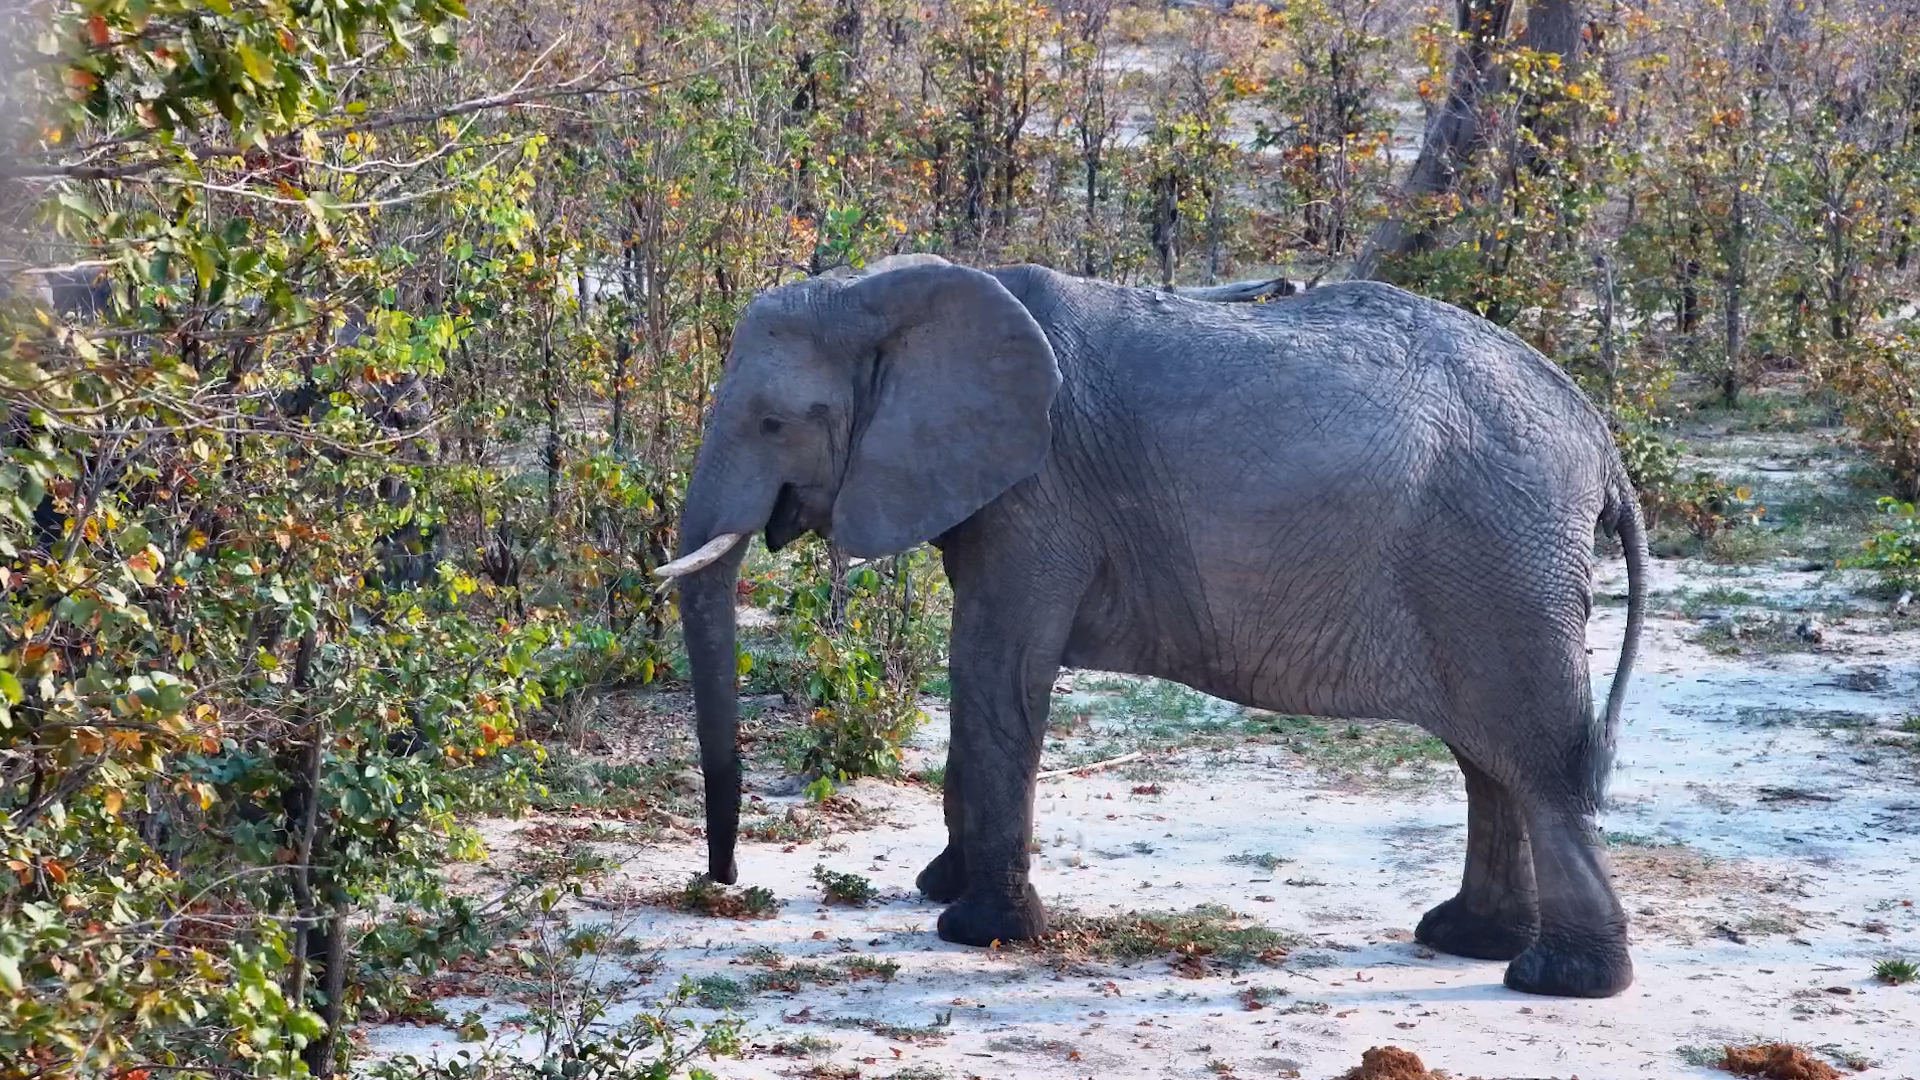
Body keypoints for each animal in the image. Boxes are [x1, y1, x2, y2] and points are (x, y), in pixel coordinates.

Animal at [655, 255, 1648, 999]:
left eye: (776, 422)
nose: (725, 881)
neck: (908, 291)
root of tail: (1603, 444)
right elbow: (984, 672)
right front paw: (942, 889)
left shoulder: (1039, 492)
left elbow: (993, 669)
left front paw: (973, 929)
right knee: (1487, 758)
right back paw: (1466, 939)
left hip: (1499, 558)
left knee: (1535, 761)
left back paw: (1553, 979)